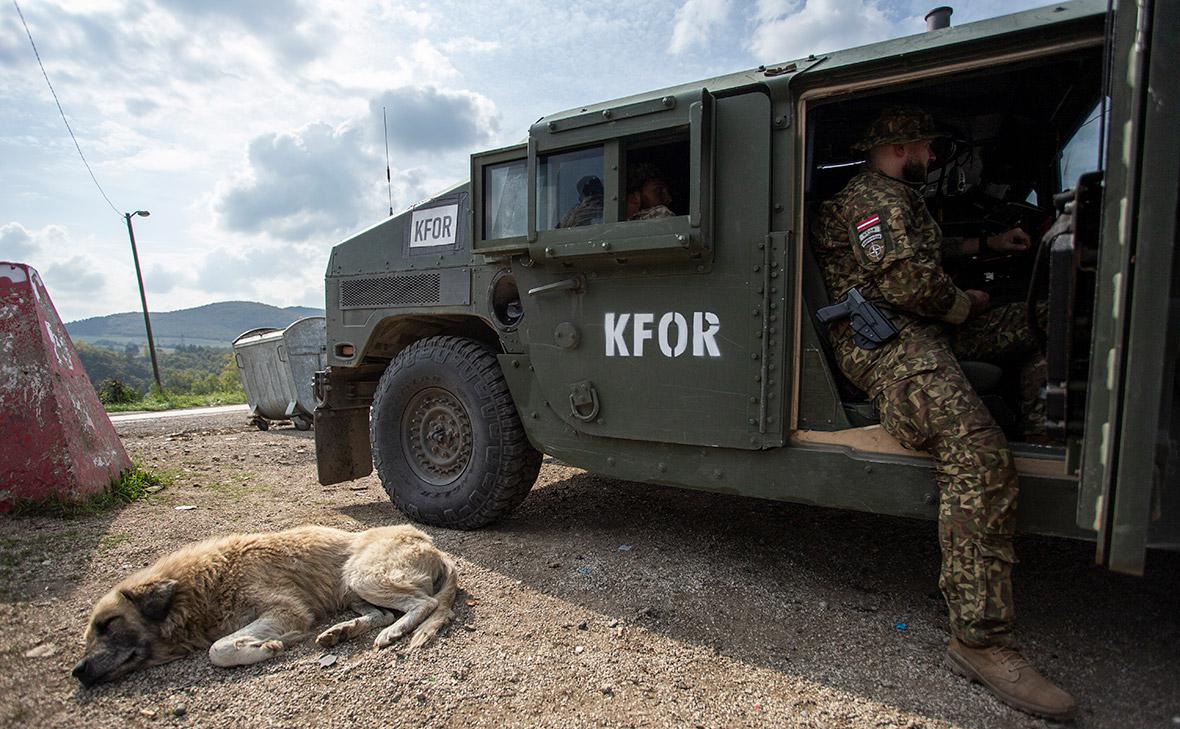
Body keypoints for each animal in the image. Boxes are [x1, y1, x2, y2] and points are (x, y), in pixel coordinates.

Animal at [71, 521, 453, 679]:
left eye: (109, 624)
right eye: (90, 635)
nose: (78, 671)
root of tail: (432, 544)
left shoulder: (286, 611)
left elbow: (217, 649)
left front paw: (263, 648)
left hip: (365, 575)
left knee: (424, 604)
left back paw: (393, 633)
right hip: (351, 590)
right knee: (382, 613)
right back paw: (340, 632)